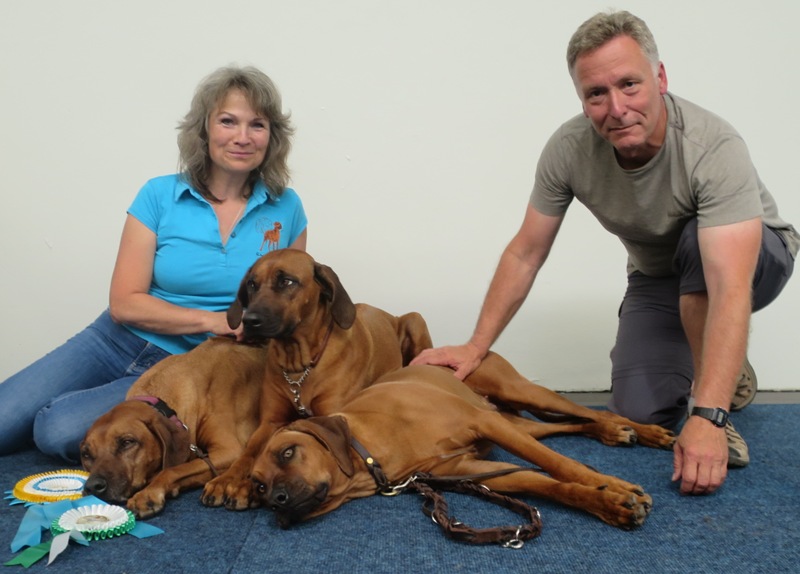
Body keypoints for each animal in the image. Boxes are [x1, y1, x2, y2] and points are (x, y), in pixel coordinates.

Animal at [80, 336, 268, 518]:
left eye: (127, 442)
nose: (93, 486)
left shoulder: (229, 451)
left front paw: (147, 494)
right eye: (86, 454)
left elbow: (171, 470)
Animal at [200, 248, 433, 510]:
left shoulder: (331, 415)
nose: (249, 321)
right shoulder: (270, 422)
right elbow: (250, 452)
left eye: (287, 281)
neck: (299, 366)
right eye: (251, 284)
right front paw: (227, 479)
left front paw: (246, 487)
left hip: (415, 320)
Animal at [250, 353, 676, 529]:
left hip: (517, 395)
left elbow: (560, 465)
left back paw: (639, 430)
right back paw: (613, 434)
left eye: (287, 452)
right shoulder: (479, 470)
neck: (372, 449)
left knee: (594, 413)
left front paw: (617, 488)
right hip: (515, 423)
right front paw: (608, 502)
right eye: (258, 487)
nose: (277, 502)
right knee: (573, 425)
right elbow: (549, 483)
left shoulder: (483, 425)